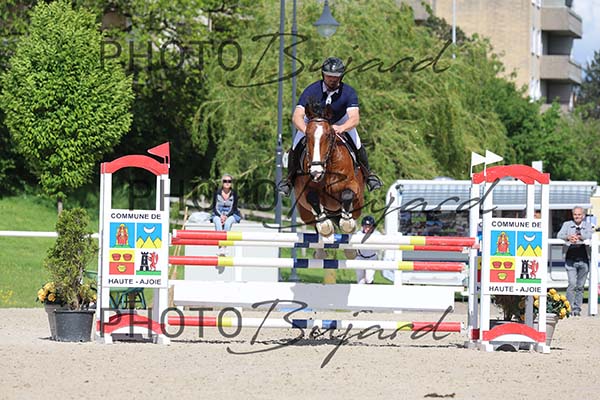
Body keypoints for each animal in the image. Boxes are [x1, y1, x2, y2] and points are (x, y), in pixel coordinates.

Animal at [293, 102, 365, 237]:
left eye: (328, 135)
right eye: (307, 135)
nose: (316, 172)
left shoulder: (354, 186)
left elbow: (347, 195)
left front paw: (347, 223)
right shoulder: (306, 191)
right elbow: (312, 198)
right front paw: (325, 225)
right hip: (305, 214)